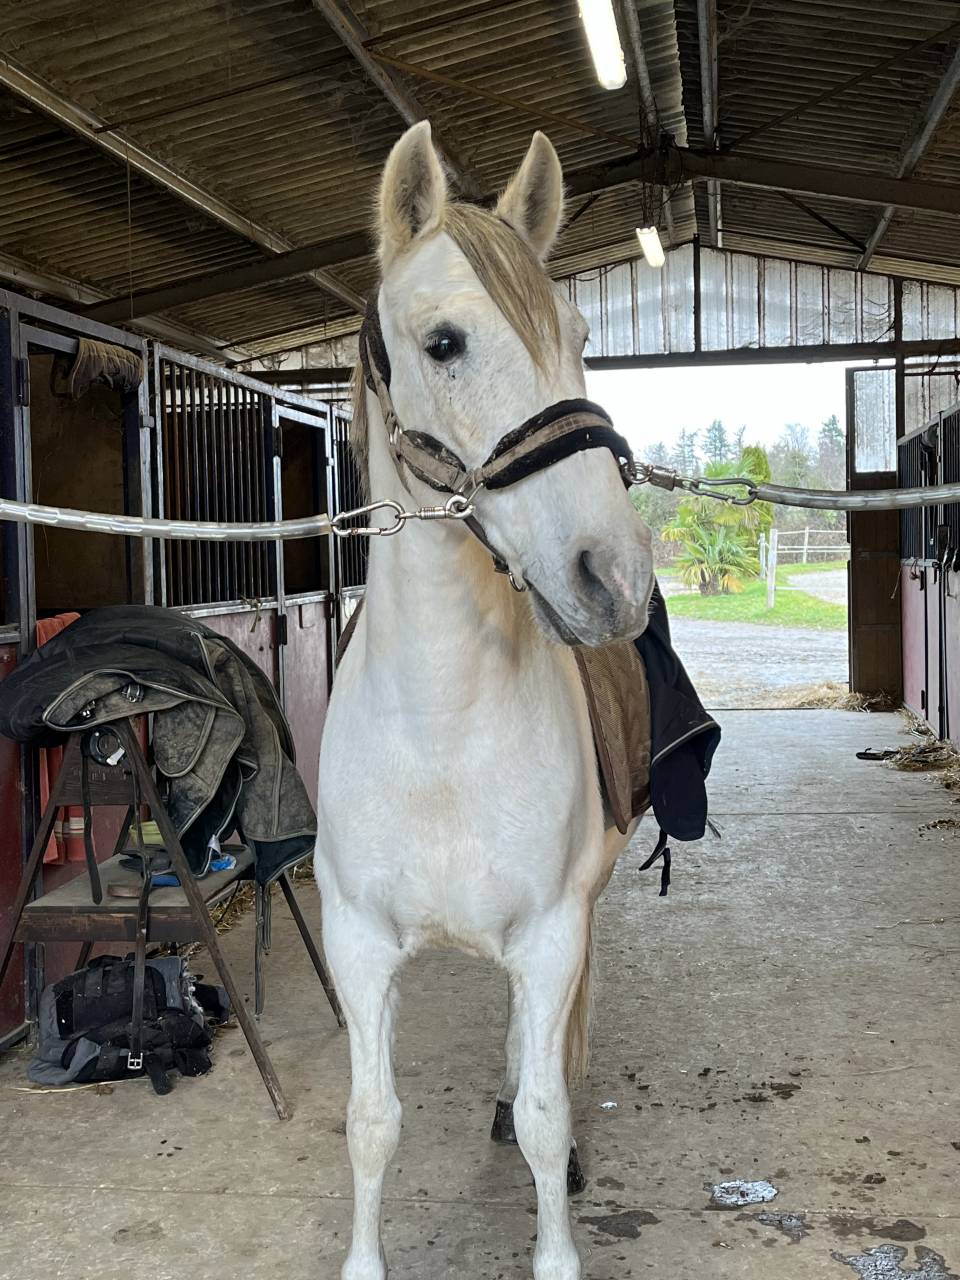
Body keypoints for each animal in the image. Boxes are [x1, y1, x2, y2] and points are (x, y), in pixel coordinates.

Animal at [315, 121, 655, 1280]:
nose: (614, 579)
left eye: (582, 333)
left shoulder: (552, 932)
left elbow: (551, 1113)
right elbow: (371, 1122)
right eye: (446, 341)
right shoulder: (357, 943)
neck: (440, 733)